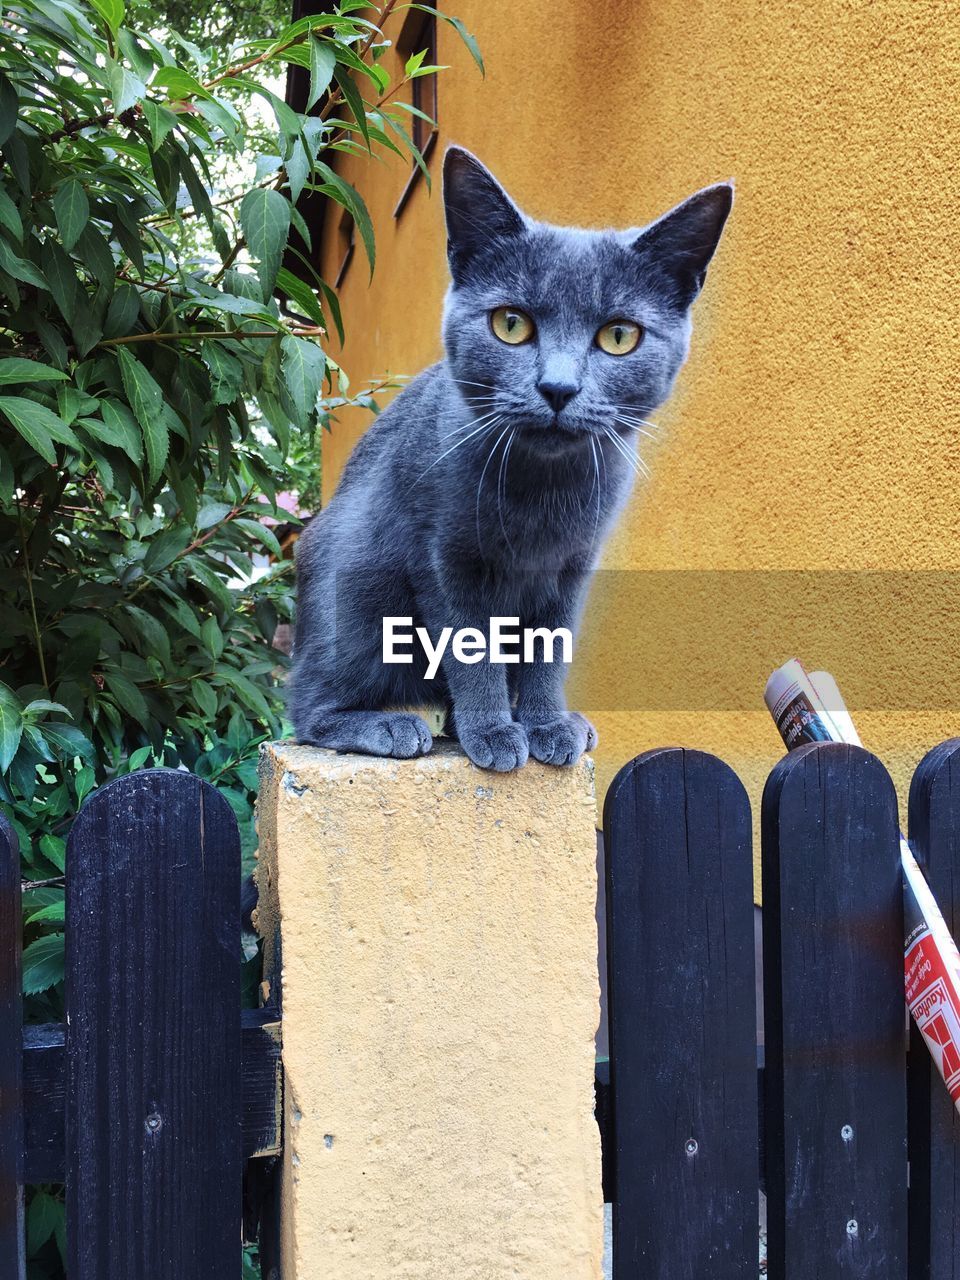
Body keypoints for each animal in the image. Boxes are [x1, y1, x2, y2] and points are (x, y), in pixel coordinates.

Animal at [289, 149, 732, 768]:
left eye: (619, 336)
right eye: (511, 324)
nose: (558, 388)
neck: (542, 493)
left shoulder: (573, 569)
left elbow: (549, 653)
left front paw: (546, 724)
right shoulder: (445, 561)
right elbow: (472, 652)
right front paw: (496, 732)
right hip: (357, 587)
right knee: (308, 705)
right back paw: (389, 725)